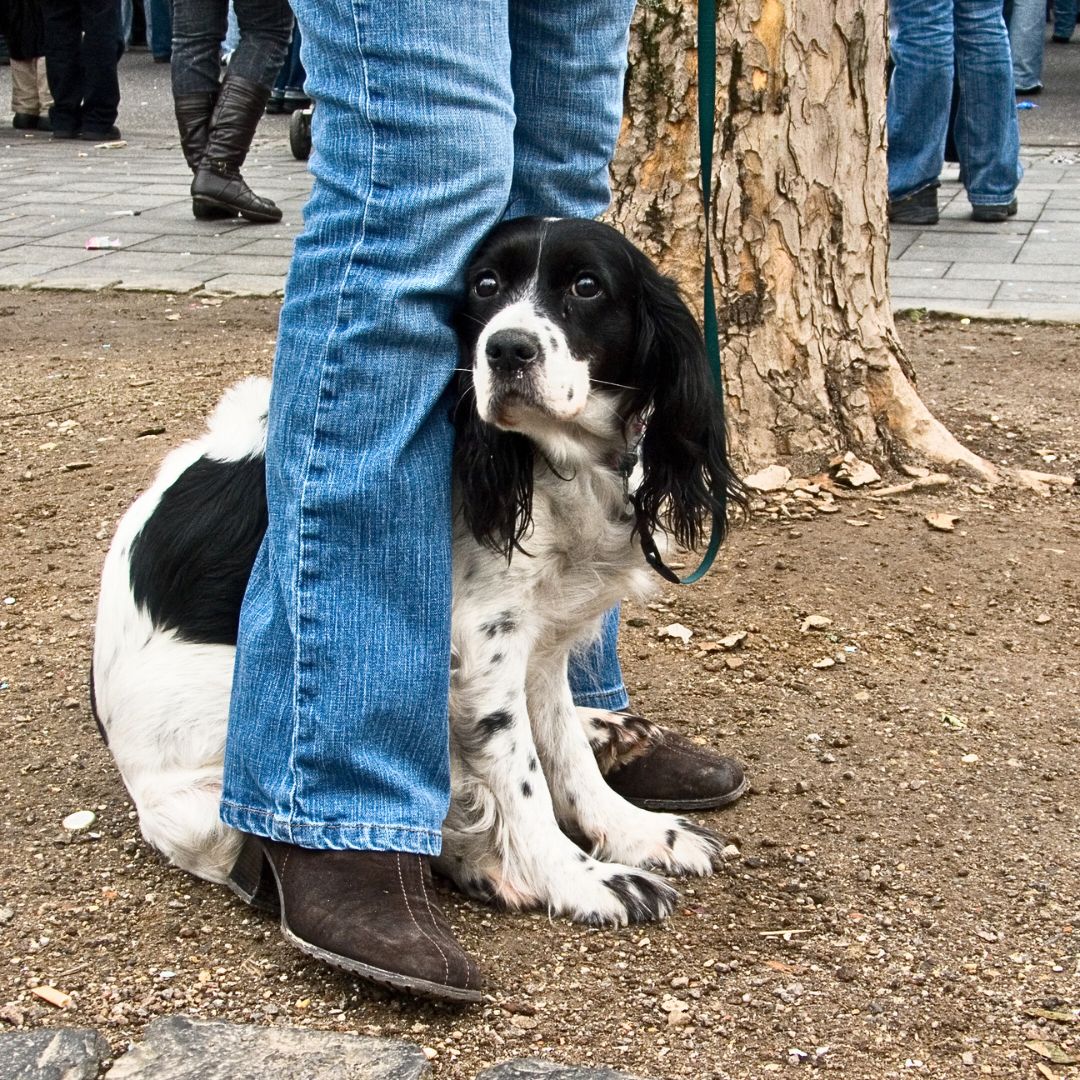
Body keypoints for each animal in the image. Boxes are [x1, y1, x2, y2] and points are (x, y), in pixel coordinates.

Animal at [92, 219, 743, 928]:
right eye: (484, 284)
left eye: (586, 286)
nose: (506, 349)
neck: (551, 464)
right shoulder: (484, 643)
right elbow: (522, 779)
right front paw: (579, 879)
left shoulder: (540, 638)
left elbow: (565, 757)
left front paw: (639, 831)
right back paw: (486, 864)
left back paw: (606, 731)